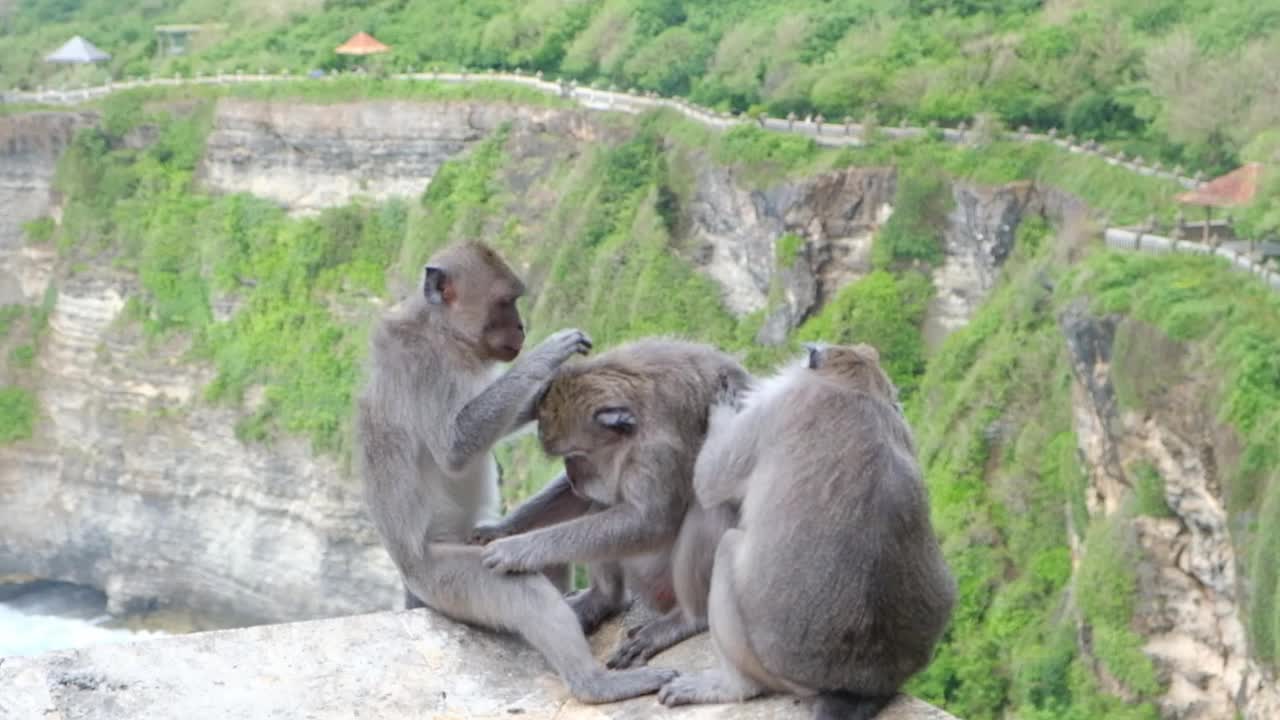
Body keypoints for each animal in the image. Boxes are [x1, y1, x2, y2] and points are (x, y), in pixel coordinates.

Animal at [350, 240, 670, 702]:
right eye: (505, 302)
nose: (521, 326)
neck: (443, 333)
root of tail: (409, 576)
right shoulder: (421, 366)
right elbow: (455, 446)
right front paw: (551, 352)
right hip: (440, 577)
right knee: (521, 589)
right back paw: (596, 685)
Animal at [473, 338, 747, 666]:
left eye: (575, 455)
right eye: (567, 459)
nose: (573, 477)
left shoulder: (658, 450)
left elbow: (650, 522)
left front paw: (517, 549)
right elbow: (590, 501)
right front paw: (502, 529)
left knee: (710, 508)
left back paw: (691, 618)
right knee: (602, 508)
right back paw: (605, 599)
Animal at [655, 340, 957, 717]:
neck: (855, 387)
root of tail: (859, 685)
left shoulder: (777, 408)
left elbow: (709, 480)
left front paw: (722, 408)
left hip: (770, 666)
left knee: (727, 549)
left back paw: (734, 685)